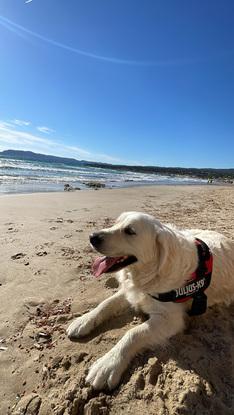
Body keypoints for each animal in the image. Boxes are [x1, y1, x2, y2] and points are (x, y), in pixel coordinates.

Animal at [66, 213, 234, 392]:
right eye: (115, 223)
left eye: (130, 231)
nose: (92, 237)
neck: (149, 273)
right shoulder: (131, 291)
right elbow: (106, 304)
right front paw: (83, 321)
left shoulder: (170, 319)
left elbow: (133, 333)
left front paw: (107, 365)